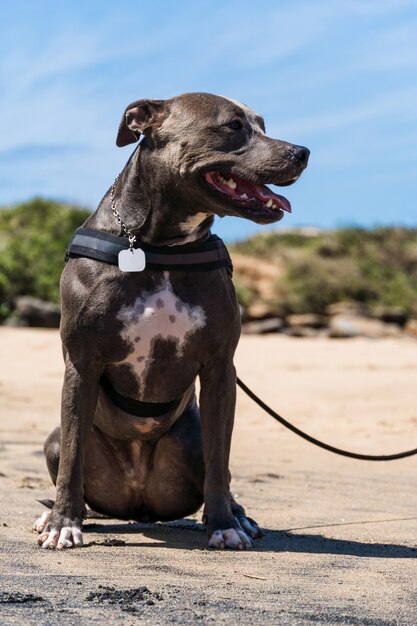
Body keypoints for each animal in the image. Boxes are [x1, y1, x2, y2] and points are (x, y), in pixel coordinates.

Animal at [34, 91, 308, 544]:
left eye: (263, 125)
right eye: (234, 126)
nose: (302, 152)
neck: (159, 247)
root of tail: (139, 501)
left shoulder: (219, 368)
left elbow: (220, 462)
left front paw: (223, 526)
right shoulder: (82, 363)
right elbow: (73, 459)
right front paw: (62, 526)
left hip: (191, 442)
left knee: (221, 470)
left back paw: (238, 517)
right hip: (54, 438)